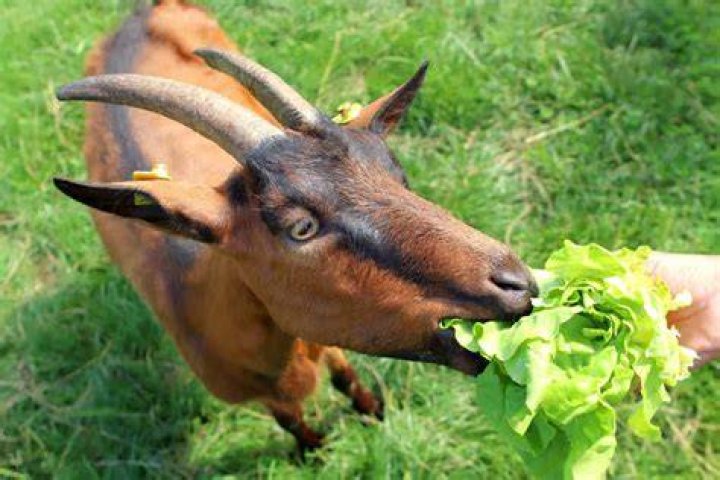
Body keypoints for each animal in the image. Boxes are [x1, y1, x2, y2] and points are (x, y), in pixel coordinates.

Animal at [54, 0, 537, 453]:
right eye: (300, 228)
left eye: (396, 175)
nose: (518, 285)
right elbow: (291, 421)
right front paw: (315, 451)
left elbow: (344, 375)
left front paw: (372, 412)